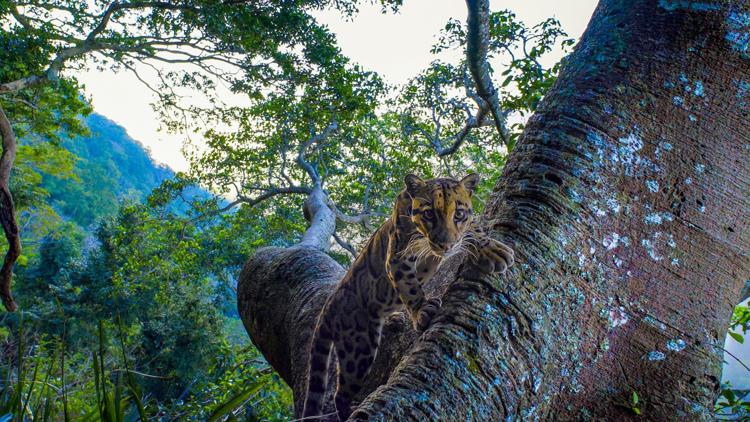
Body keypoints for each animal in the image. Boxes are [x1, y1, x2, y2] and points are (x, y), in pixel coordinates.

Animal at [302, 173, 516, 420]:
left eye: (459, 214)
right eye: (429, 214)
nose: (446, 245)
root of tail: (331, 302)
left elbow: (474, 228)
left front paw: (489, 247)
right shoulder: (397, 256)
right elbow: (410, 287)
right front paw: (423, 310)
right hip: (358, 346)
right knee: (340, 394)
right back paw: (351, 410)